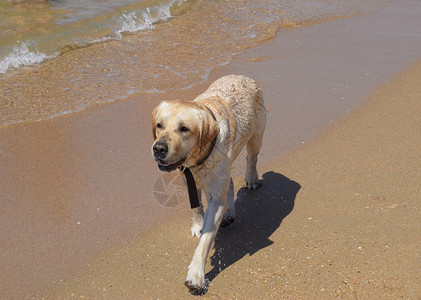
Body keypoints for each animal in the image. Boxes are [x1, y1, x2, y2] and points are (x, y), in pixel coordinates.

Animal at [151, 74, 266, 294]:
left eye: (184, 129)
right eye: (159, 125)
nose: (158, 148)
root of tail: (243, 76)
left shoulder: (216, 199)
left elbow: (205, 241)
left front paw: (196, 274)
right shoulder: (188, 177)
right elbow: (196, 207)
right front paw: (197, 225)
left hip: (256, 136)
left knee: (252, 159)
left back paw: (251, 178)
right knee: (229, 182)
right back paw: (230, 213)